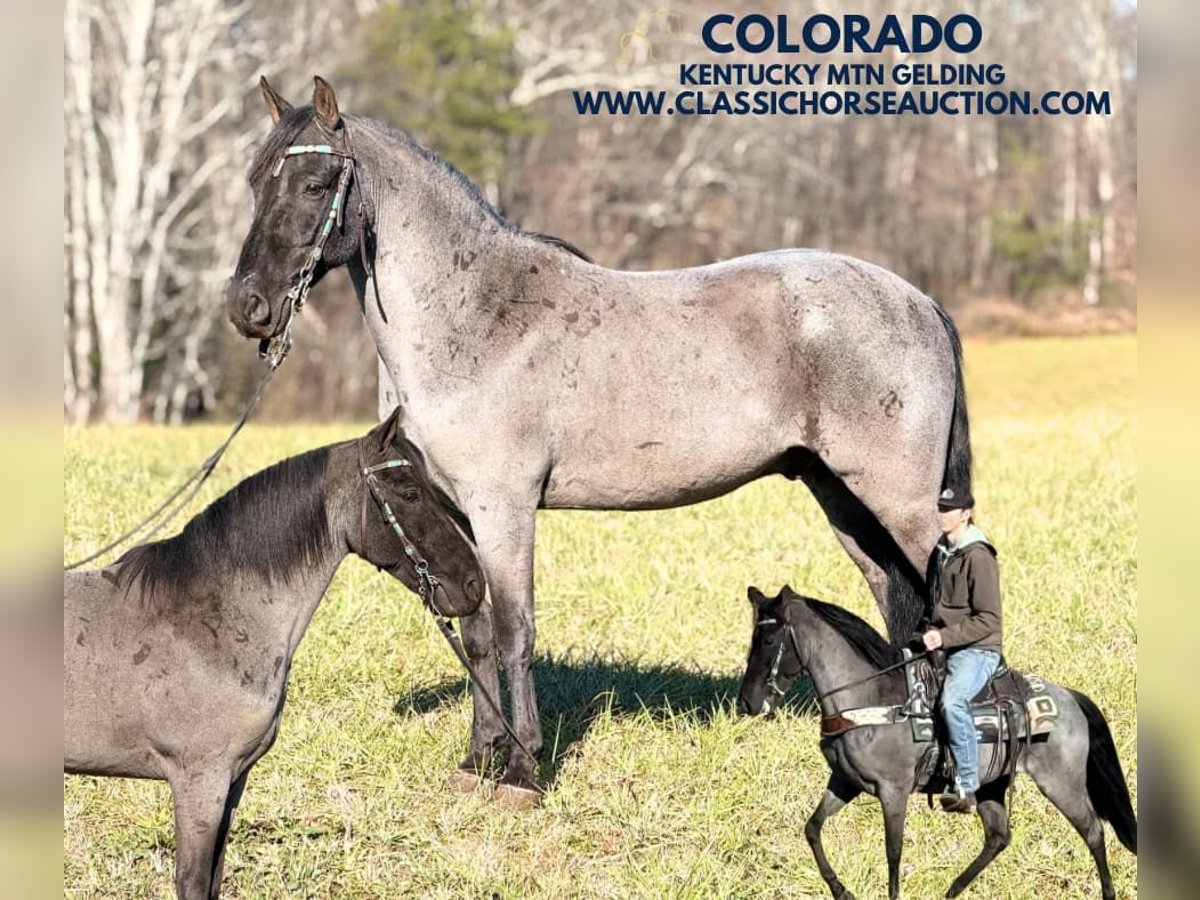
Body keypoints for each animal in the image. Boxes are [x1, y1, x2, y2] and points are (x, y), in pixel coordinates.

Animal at [64, 410, 482, 900]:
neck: (215, 616)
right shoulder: (200, 780)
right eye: (410, 492)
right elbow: (192, 881)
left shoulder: (234, 779)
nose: (473, 585)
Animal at [226, 74, 974, 801]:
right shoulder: (453, 511)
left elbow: (514, 630)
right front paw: (476, 762)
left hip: (901, 504)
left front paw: (522, 772)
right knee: (896, 601)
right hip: (842, 496)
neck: (475, 317)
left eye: (316, 184)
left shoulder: (505, 506)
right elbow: (476, 632)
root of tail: (920, 302)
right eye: (256, 182)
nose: (247, 307)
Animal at [734, 588, 1137, 897]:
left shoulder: (893, 790)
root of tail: (1069, 698)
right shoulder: (845, 782)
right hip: (990, 786)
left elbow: (893, 852)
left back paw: (1108, 892)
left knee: (1093, 831)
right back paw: (952, 890)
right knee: (998, 836)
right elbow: (813, 828)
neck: (868, 698)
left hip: (1061, 783)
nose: (748, 703)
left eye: (768, 640)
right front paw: (840, 889)